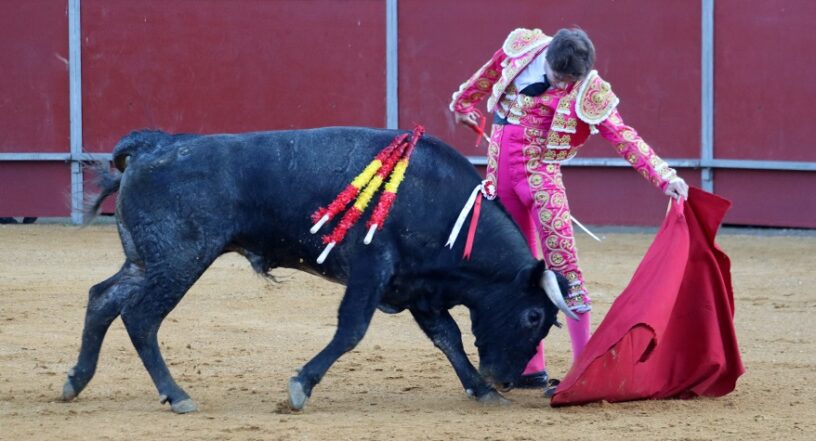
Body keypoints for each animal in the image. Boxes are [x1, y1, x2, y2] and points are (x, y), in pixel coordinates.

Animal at [63, 127, 572, 412]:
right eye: (533, 316)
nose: (505, 377)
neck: (444, 205)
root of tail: (154, 146)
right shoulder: (372, 268)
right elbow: (352, 330)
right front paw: (300, 387)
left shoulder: (417, 288)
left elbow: (448, 338)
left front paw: (481, 391)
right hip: (179, 260)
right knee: (141, 316)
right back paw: (177, 396)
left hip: (145, 260)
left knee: (102, 298)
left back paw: (76, 381)